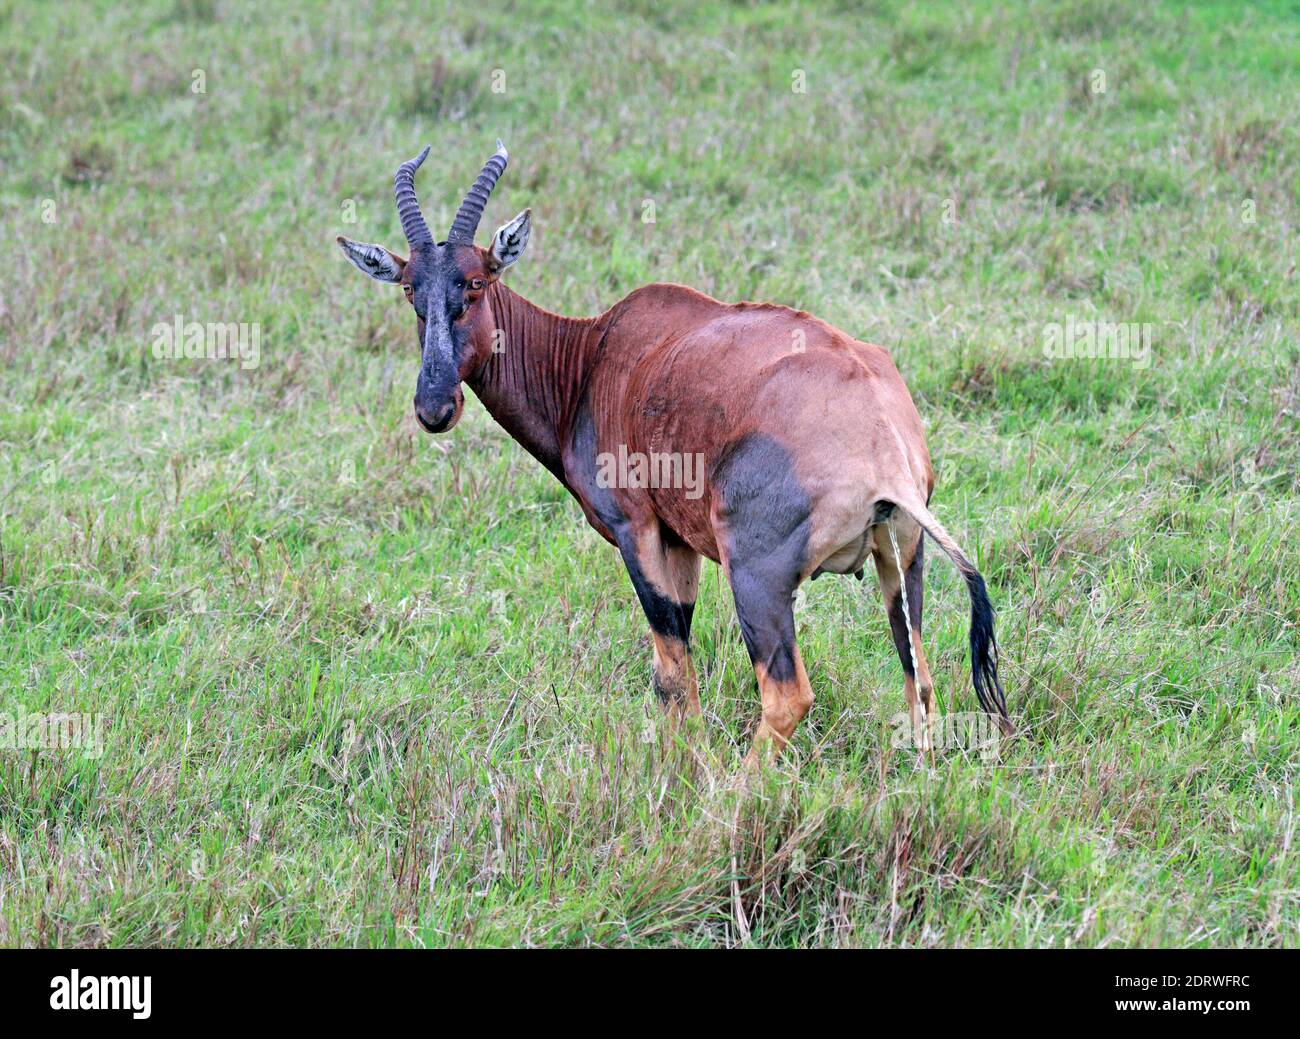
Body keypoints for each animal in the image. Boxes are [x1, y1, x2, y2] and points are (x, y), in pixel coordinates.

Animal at [340, 142, 1008, 769]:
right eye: (410, 289)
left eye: (476, 282)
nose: (435, 406)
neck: (595, 354)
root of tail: (882, 436)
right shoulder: (680, 540)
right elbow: (679, 663)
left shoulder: (636, 528)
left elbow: (668, 670)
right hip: (902, 559)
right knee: (919, 682)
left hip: (757, 573)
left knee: (787, 694)